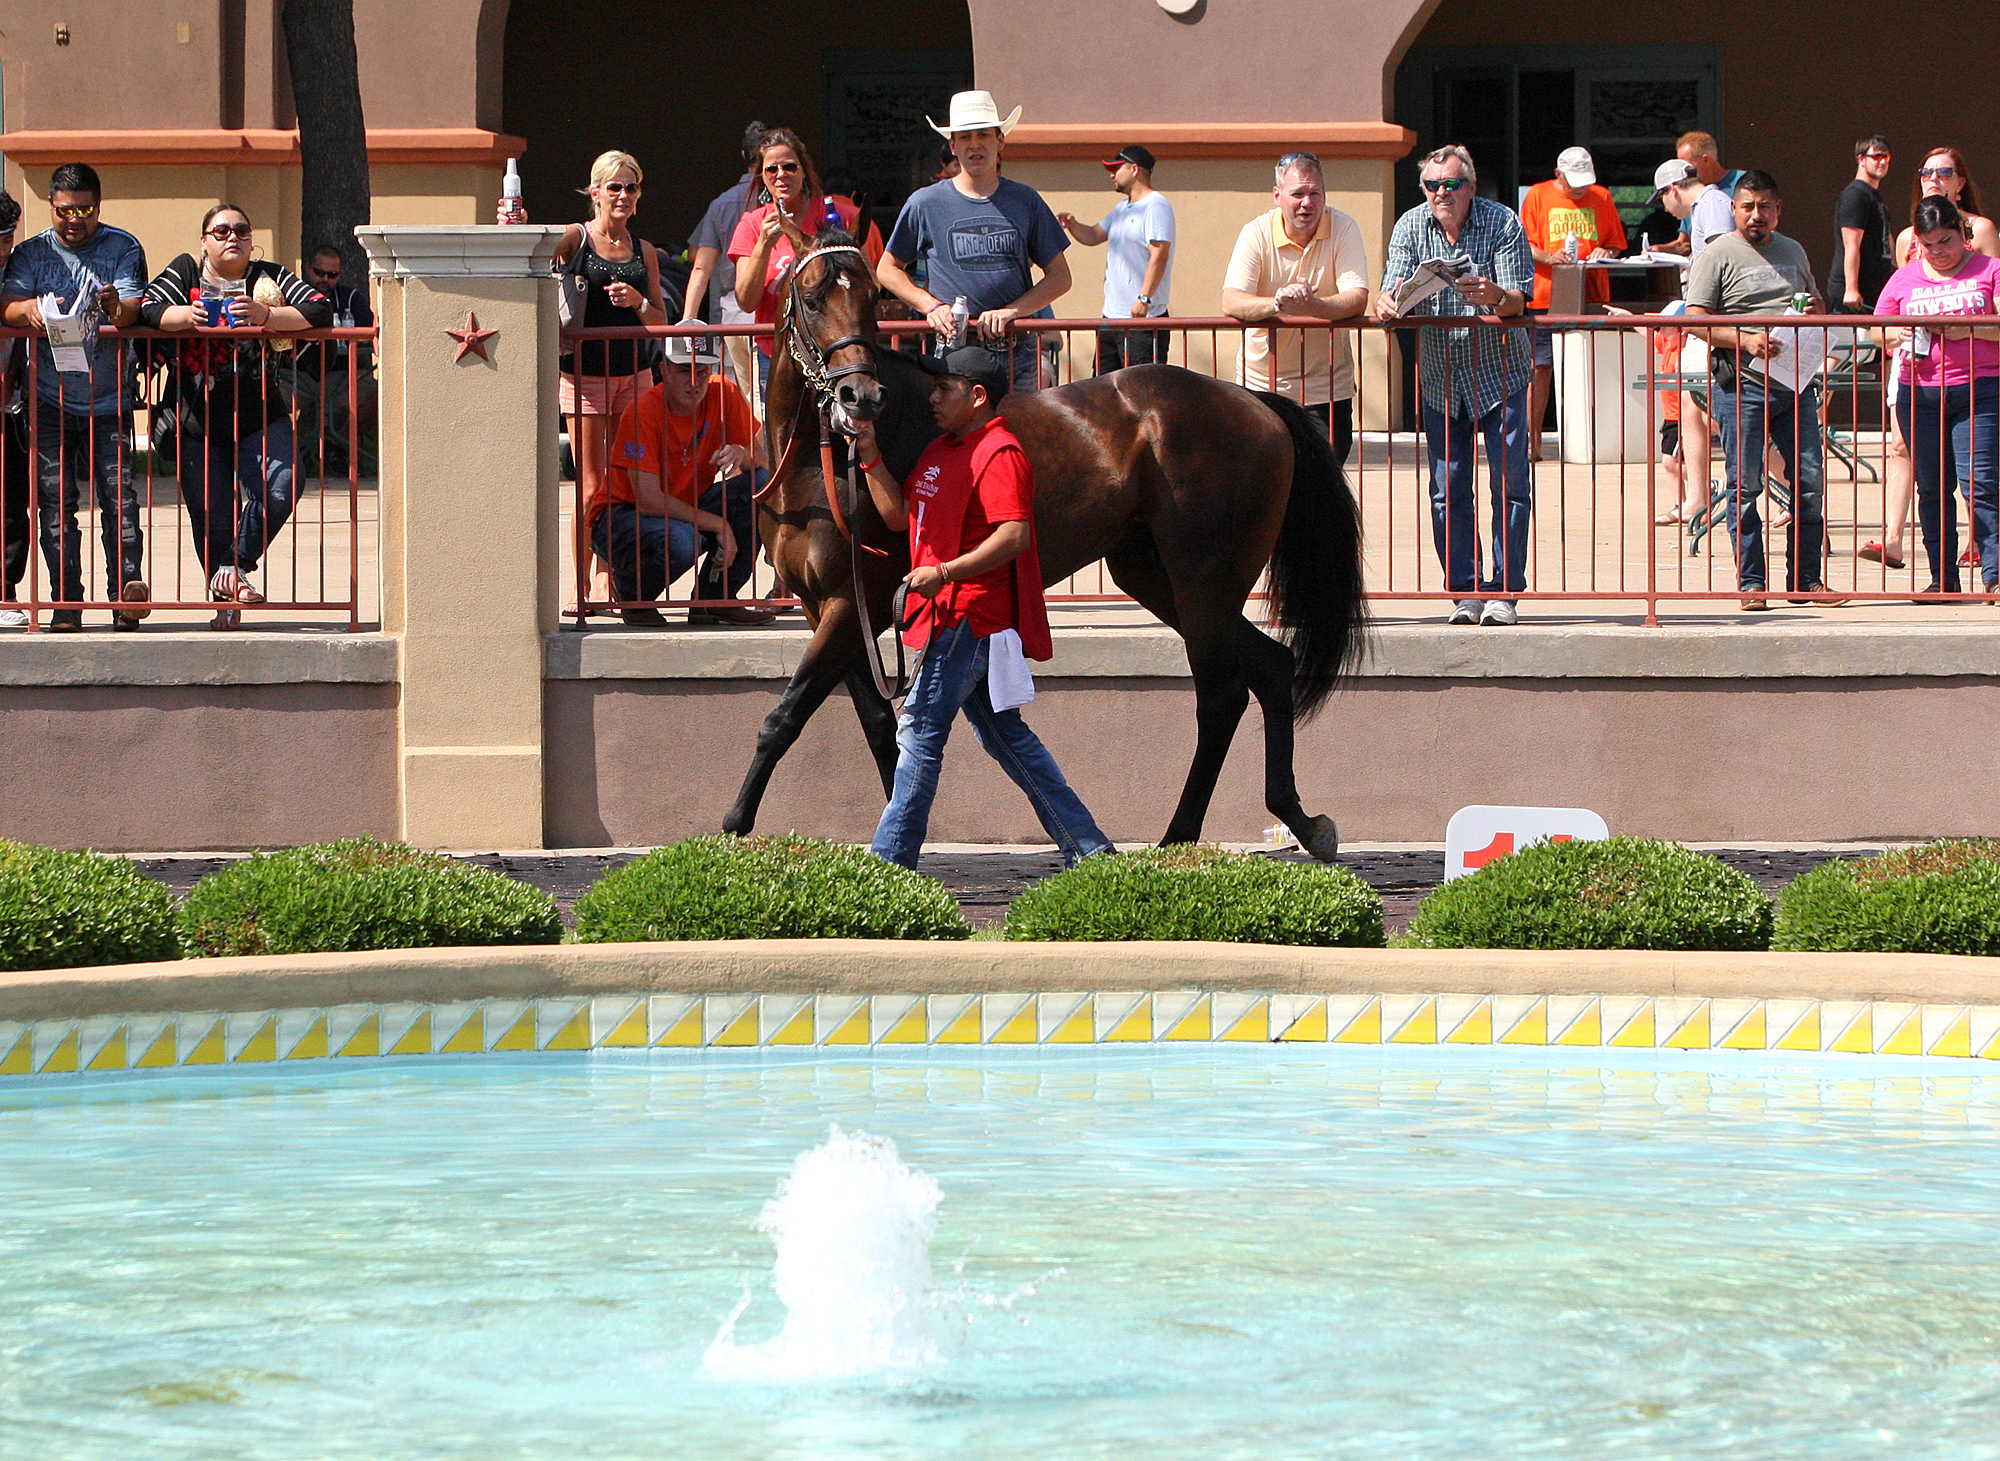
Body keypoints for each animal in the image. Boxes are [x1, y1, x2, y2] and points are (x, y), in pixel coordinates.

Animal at [728, 223, 1368, 860]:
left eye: (868, 301)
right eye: (813, 300)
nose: (861, 398)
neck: (819, 465)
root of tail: (1258, 404)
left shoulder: (850, 600)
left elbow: (784, 717)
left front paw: (733, 824)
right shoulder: (829, 607)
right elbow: (877, 724)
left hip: (1203, 582)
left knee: (1222, 694)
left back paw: (1180, 834)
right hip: (1157, 578)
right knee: (1272, 667)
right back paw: (1301, 820)